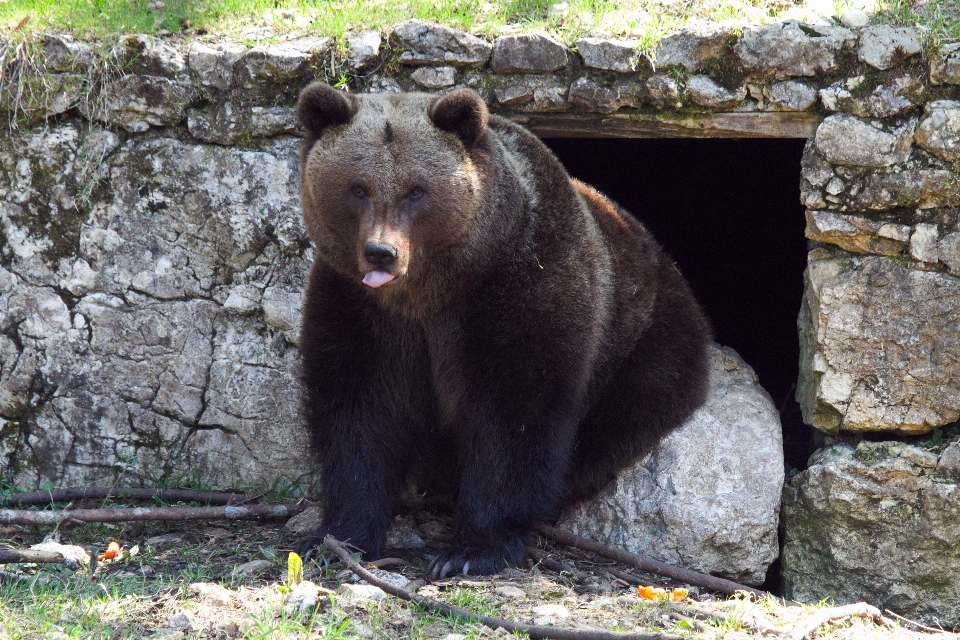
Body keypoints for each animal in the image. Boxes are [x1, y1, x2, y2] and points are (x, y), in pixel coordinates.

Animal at [296, 82, 708, 576]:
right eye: (357, 187)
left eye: (417, 190)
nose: (381, 252)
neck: (432, 291)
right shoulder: (358, 306)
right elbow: (357, 410)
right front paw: (339, 536)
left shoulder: (522, 283)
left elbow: (514, 412)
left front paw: (470, 551)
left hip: (644, 341)